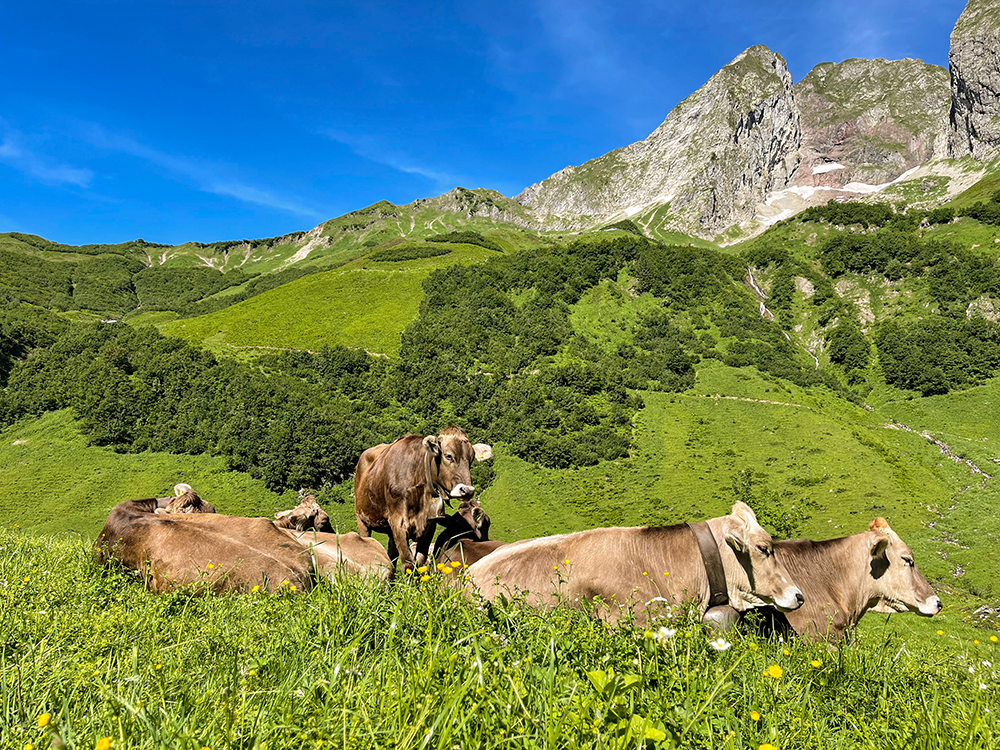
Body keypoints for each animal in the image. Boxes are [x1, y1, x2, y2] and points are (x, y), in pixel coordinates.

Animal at [356, 428, 492, 568]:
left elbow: (420, 561)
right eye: (448, 456)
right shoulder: (398, 522)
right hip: (362, 518)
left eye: (471, 459)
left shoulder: (429, 524)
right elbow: (408, 562)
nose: (467, 490)